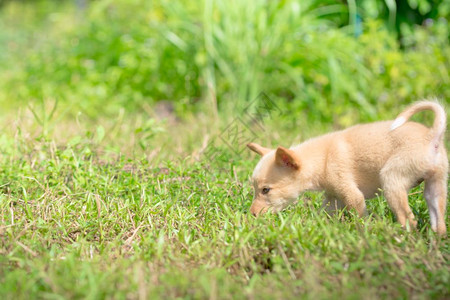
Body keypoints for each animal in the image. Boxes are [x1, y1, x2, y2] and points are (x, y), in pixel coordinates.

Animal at [248, 102, 448, 236]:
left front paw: (365, 232)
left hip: (391, 180)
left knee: (408, 220)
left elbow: (360, 217)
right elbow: (323, 215)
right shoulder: (333, 198)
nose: (251, 215)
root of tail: (431, 136)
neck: (322, 158)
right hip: (435, 186)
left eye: (265, 190)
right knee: (439, 221)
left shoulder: (353, 195)